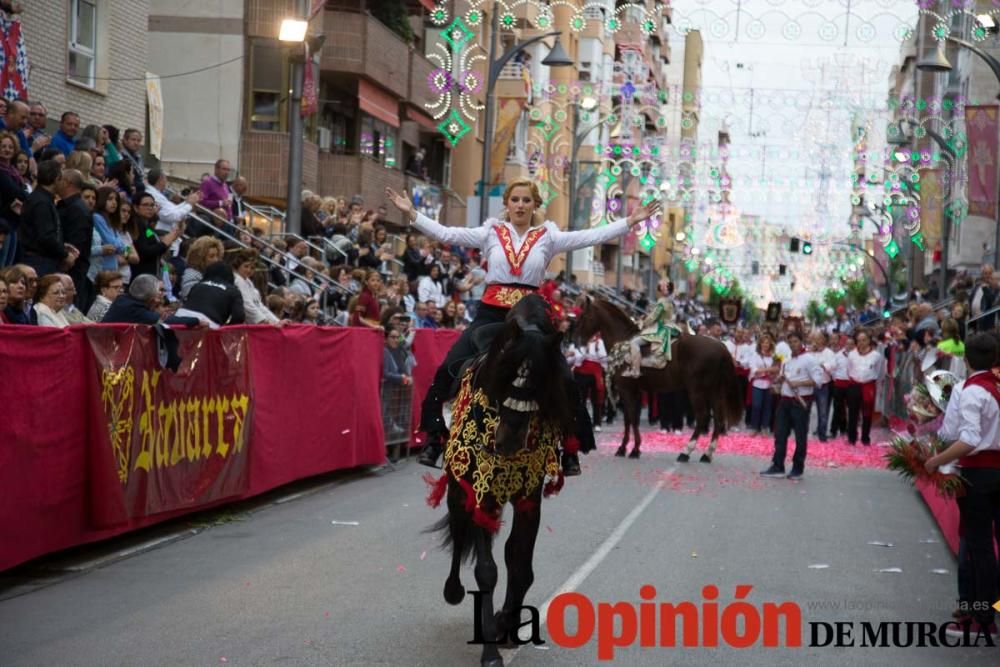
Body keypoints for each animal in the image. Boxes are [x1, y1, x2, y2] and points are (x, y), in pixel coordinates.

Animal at [426, 298, 576, 667]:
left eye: (540, 385)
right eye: (504, 380)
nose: (508, 442)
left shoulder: (528, 499)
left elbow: (519, 562)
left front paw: (507, 623)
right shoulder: (481, 494)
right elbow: (487, 570)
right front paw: (491, 649)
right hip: (458, 489)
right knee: (459, 529)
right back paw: (453, 590)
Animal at [580, 298, 744, 462]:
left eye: (584, 315)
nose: (578, 340)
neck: (622, 340)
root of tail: (721, 347)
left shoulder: (626, 389)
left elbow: (631, 418)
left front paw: (632, 449)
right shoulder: (633, 390)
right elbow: (631, 419)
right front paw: (627, 448)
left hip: (697, 390)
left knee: (702, 417)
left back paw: (685, 452)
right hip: (715, 392)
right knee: (718, 419)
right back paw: (707, 454)